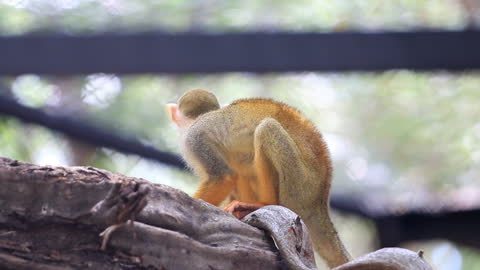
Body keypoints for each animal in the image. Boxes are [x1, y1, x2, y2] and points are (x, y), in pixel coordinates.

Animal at [167, 89, 350, 268]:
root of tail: (320, 199)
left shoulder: (194, 139)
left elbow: (223, 177)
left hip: (301, 185)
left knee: (267, 128)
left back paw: (264, 203)